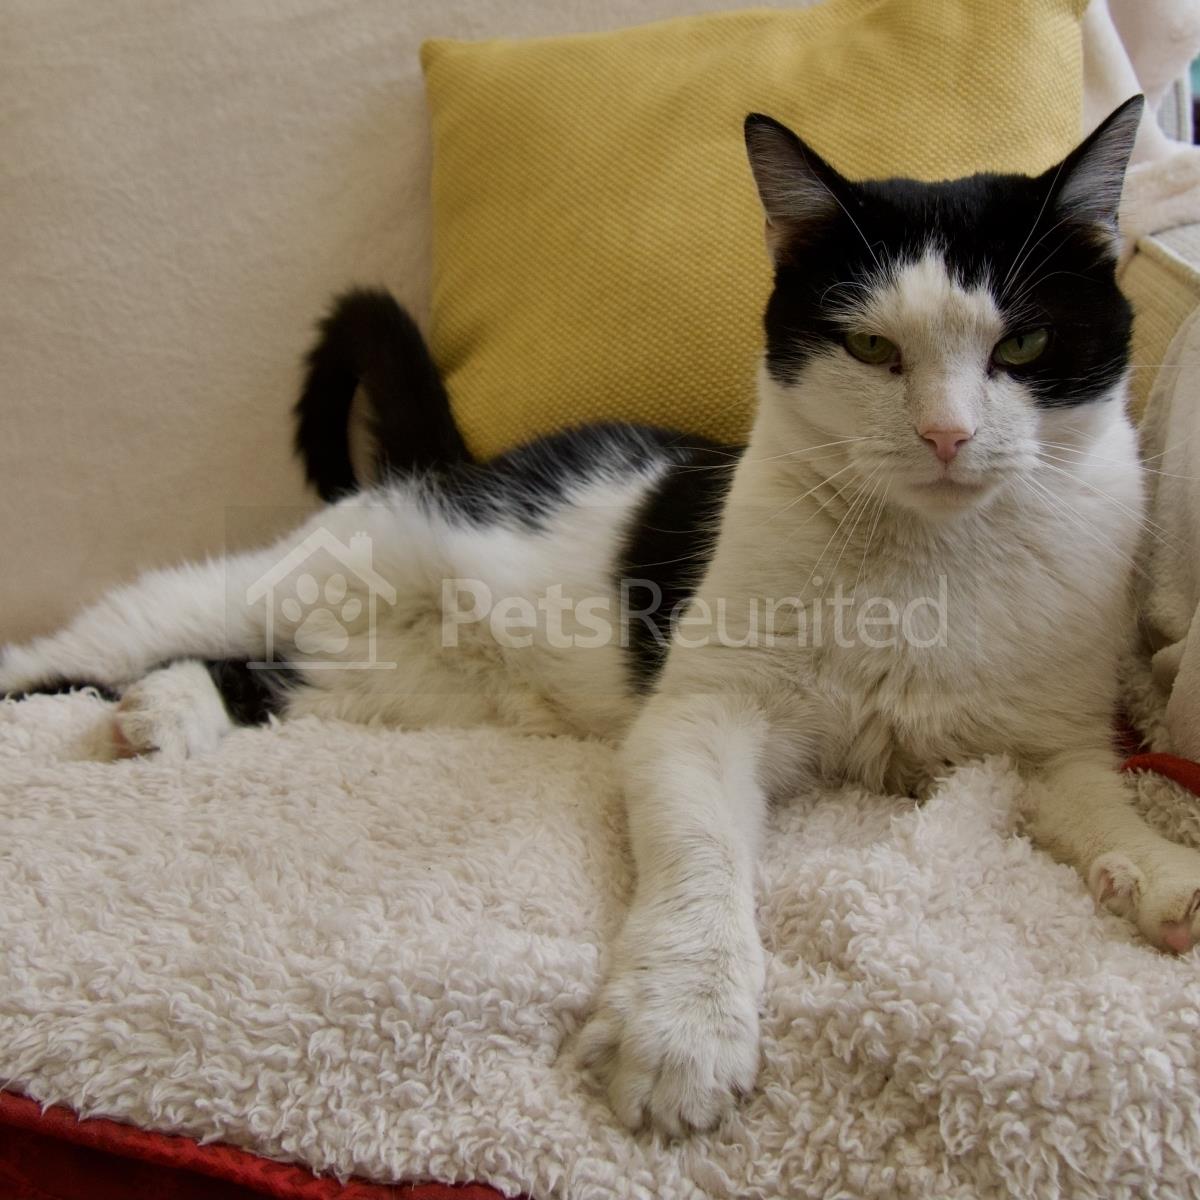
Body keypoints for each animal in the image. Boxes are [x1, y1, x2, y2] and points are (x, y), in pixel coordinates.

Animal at [3, 94, 1193, 1138]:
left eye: (1024, 346)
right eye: (870, 349)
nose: (947, 435)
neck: (933, 561)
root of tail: (461, 466)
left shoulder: (1052, 742)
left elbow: (1091, 800)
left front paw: (1158, 874)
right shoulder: (701, 716)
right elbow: (703, 858)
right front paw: (684, 1033)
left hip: (397, 684)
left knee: (268, 673)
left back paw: (168, 712)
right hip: (284, 578)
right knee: (111, 635)